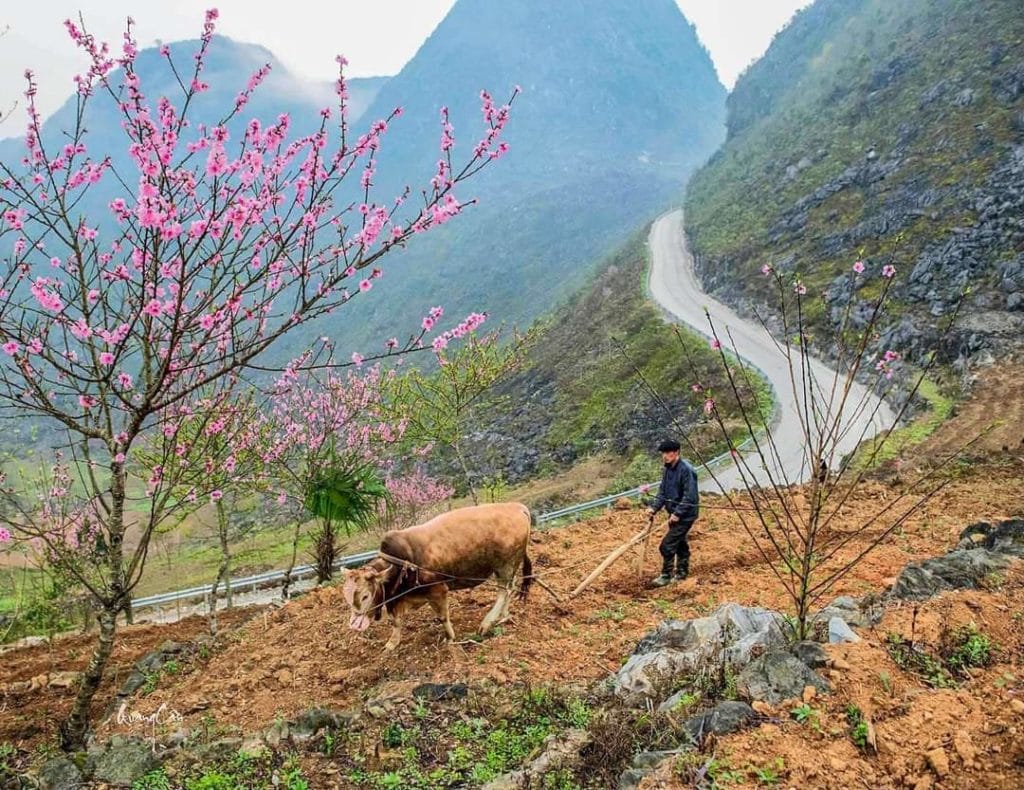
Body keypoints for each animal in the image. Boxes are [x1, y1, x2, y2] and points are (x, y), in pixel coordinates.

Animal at [344, 506, 536, 647]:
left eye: (365, 595)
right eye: (346, 596)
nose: (354, 624)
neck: (401, 561)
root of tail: (517, 506)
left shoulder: (437, 589)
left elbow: (442, 617)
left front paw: (450, 638)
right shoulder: (401, 598)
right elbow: (396, 621)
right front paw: (392, 644)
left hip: (505, 564)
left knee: (504, 591)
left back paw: (487, 623)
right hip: (507, 566)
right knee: (509, 589)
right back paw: (503, 615)